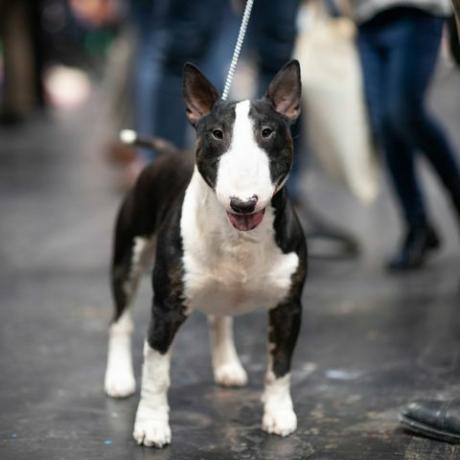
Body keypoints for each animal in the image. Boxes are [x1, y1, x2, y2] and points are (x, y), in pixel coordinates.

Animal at [102, 59, 308, 448]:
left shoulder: (289, 306)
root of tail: (167, 152)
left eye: (268, 132)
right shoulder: (166, 308)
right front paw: (151, 426)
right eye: (216, 134)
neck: (240, 236)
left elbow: (280, 367)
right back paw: (118, 378)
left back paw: (228, 367)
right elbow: (157, 373)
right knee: (120, 321)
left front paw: (279, 414)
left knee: (219, 318)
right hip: (128, 255)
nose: (244, 203)